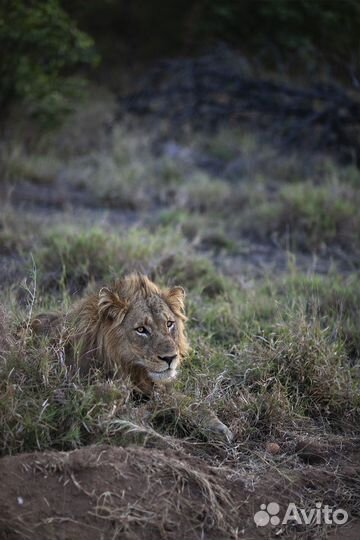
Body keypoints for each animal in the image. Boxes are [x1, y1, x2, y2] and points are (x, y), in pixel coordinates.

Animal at [31, 272, 233, 440]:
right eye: (141, 330)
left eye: (169, 324)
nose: (170, 358)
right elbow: (132, 424)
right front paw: (161, 440)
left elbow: (192, 403)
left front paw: (219, 428)